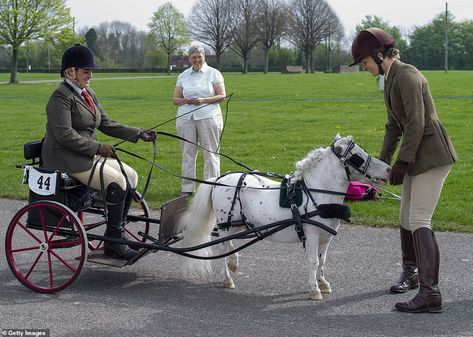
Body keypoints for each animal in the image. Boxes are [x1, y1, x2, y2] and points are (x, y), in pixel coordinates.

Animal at [177, 134, 388, 300]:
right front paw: (314, 290)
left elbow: (322, 261)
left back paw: (233, 263)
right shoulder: (312, 236)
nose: (388, 168)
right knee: (222, 248)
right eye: (358, 156)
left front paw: (323, 283)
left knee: (228, 245)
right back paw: (227, 278)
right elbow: (313, 262)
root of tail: (219, 179)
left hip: (236, 225)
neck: (317, 193)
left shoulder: (325, 238)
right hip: (225, 225)